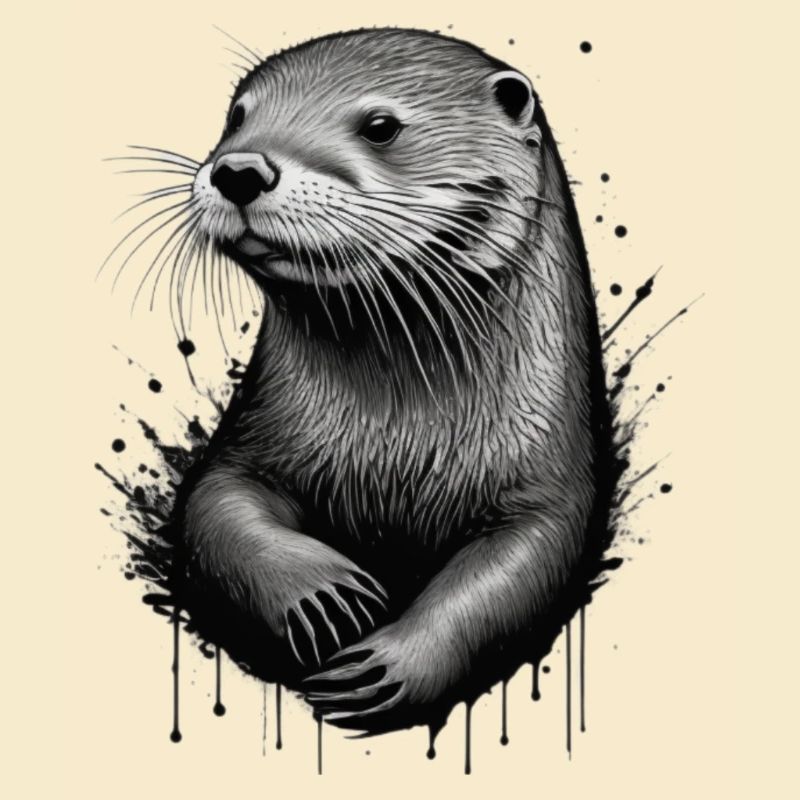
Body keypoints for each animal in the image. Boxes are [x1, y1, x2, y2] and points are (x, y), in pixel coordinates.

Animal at [170, 28, 612, 735]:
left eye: (381, 127)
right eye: (236, 116)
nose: (238, 169)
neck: (397, 441)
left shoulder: (554, 475)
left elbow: (517, 570)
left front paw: (391, 667)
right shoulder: (251, 439)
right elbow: (214, 507)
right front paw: (322, 596)